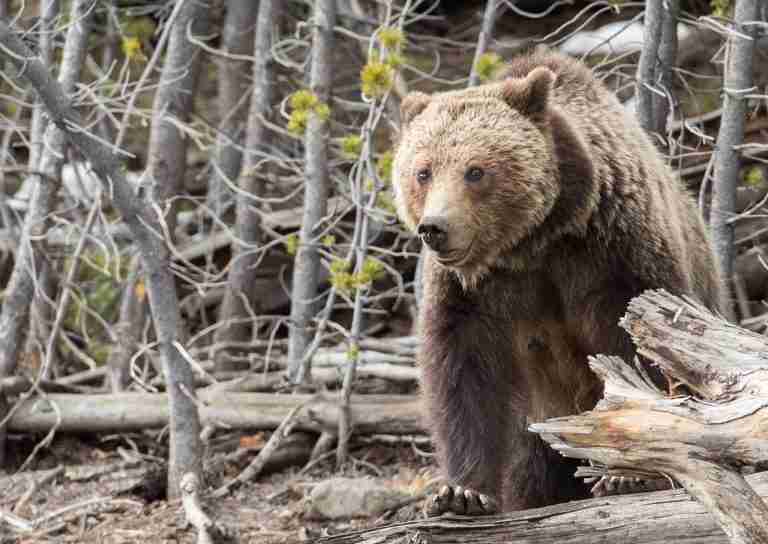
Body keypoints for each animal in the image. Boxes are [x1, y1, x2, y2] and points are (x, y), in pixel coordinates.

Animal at [391, 47, 723, 516]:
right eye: (423, 171)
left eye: (475, 171)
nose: (434, 228)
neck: (532, 241)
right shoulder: (473, 292)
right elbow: (464, 374)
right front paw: (462, 493)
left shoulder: (612, 253)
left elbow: (641, 350)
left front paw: (629, 475)